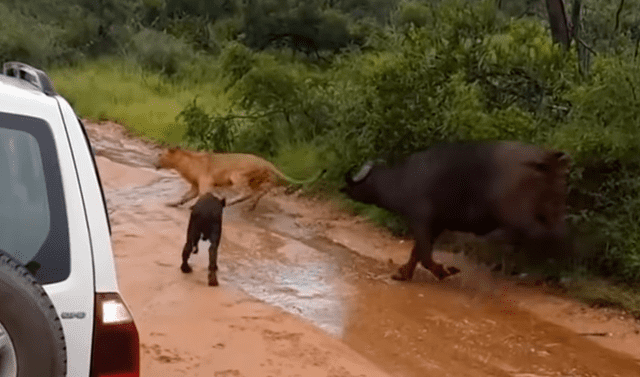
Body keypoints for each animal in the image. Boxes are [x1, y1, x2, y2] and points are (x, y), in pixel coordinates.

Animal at [342, 142, 572, 282]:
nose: (345, 189)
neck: (403, 179)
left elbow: (424, 255)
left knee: (535, 234)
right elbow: (417, 253)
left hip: (516, 214)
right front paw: (404, 274)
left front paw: (444, 271)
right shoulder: (436, 225)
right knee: (556, 235)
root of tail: (546, 158)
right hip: (553, 209)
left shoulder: (421, 221)